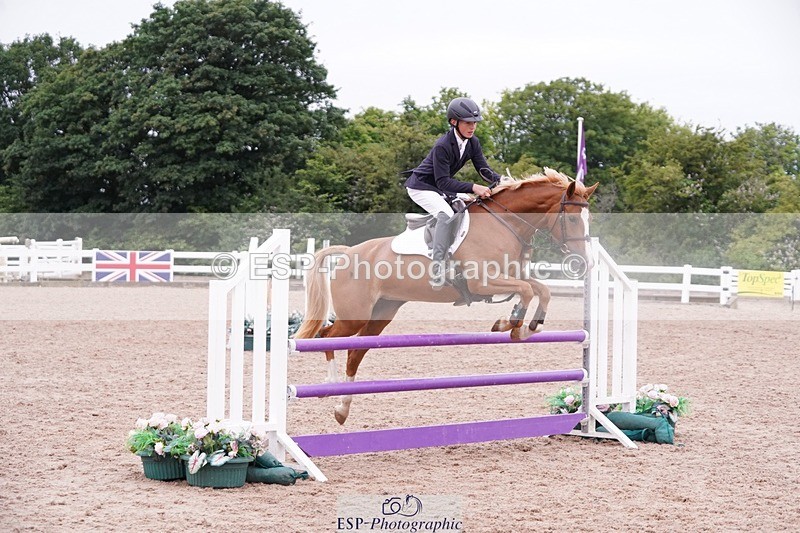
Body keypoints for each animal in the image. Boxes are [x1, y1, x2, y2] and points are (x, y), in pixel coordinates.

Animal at [294, 168, 598, 424]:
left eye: (588, 220)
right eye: (572, 218)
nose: (584, 262)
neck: (505, 223)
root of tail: (348, 252)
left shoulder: (512, 276)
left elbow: (540, 290)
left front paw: (528, 327)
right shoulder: (483, 282)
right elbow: (526, 291)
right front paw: (510, 324)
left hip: (381, 314)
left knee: (355, 351)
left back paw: (342, 408)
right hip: (354, 316)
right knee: (327, 336)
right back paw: (330, 388)